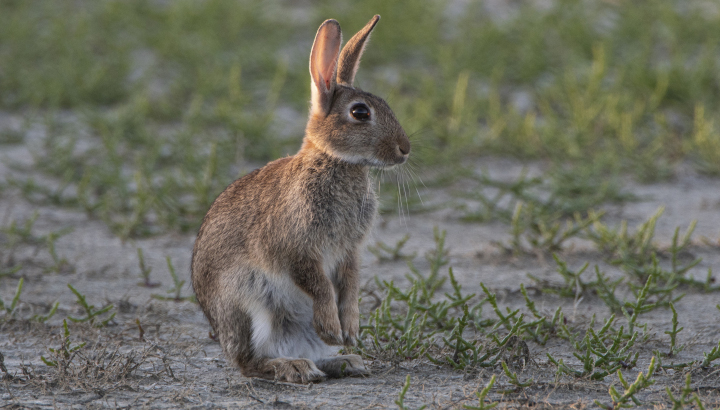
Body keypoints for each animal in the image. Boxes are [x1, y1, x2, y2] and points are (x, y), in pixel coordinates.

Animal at [190, 13, 410, 384]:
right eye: (360, 113)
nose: (405, 149)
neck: (334, 161)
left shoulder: (349, 251)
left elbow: (350, 284)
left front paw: (350, 332)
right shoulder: (295, 247)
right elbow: (318, 285)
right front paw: (334, 329)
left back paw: (344, 361)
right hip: (249, 306)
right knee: (249, 363)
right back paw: (293, 367)